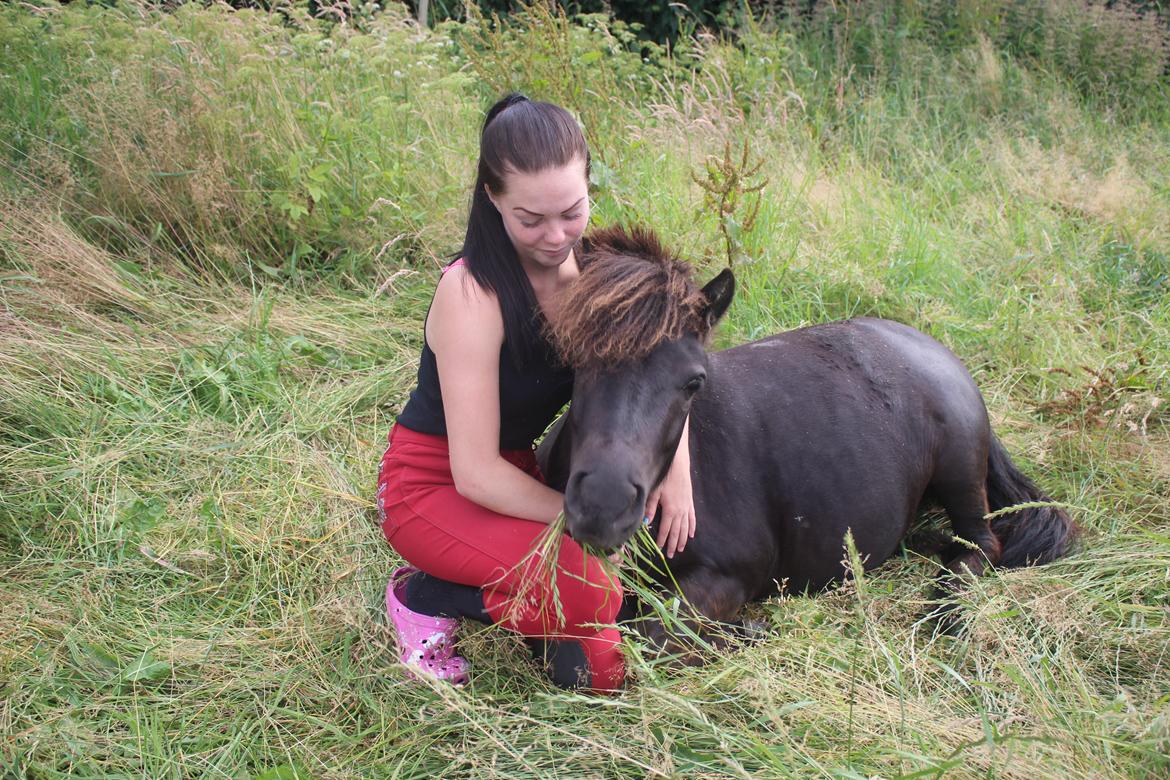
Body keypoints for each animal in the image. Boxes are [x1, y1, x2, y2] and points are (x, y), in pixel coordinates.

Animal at [535, 225, 1071, 654]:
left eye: (694, 382)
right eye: (573, 358)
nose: (602, 507)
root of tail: (942, 355)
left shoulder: (727, 576)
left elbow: (649, 635)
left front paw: (743, 633)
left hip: (960, 476)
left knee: (981, 545)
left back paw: (948, 608)